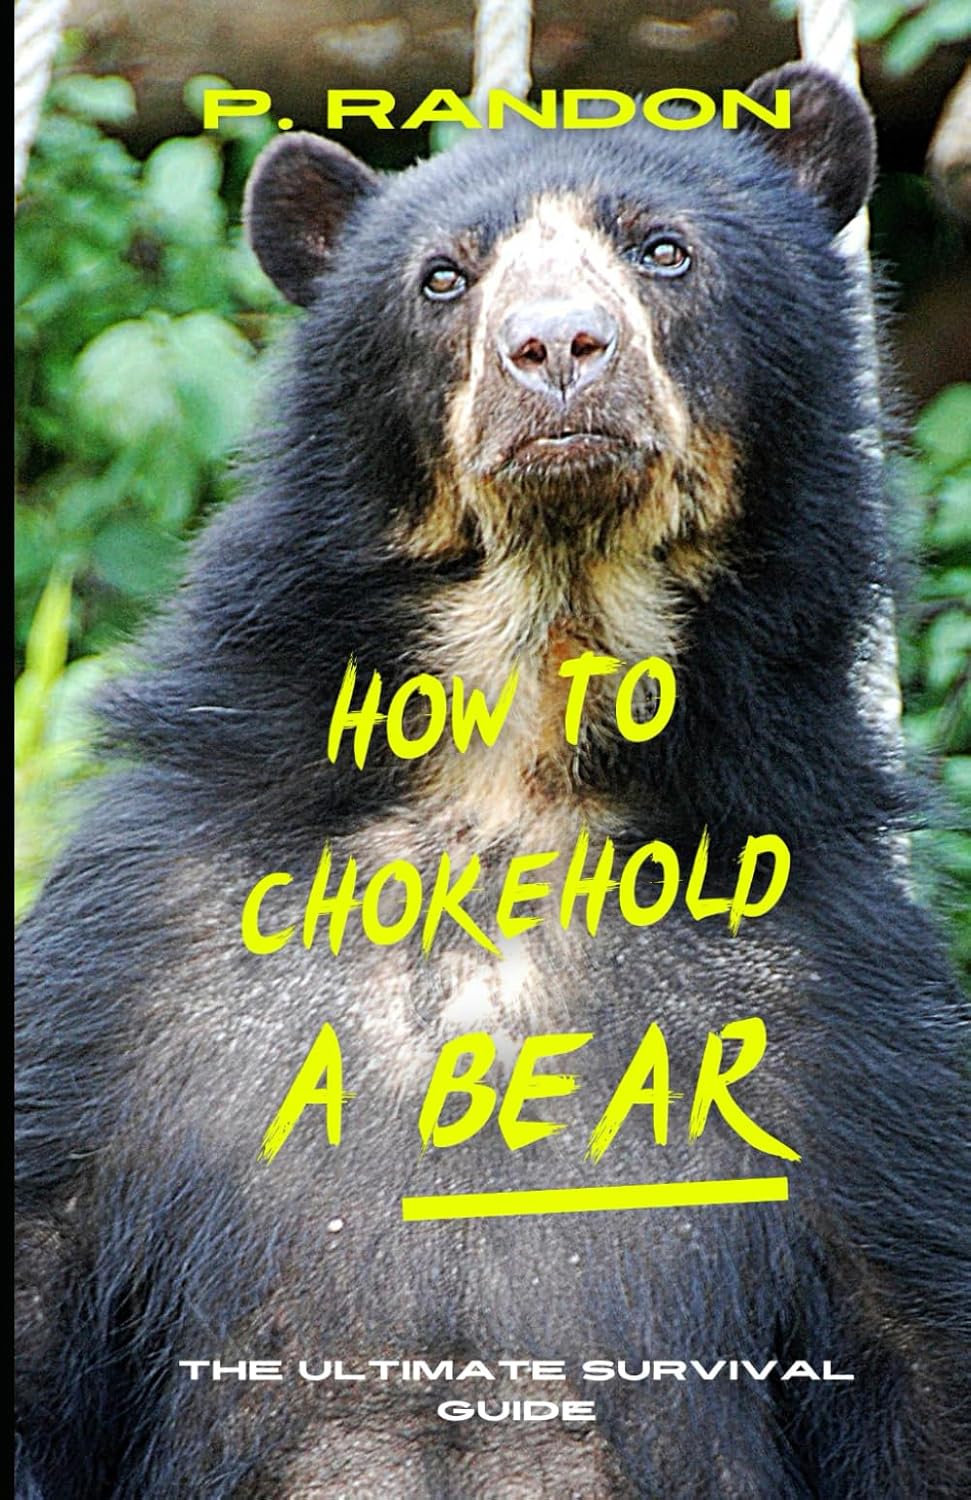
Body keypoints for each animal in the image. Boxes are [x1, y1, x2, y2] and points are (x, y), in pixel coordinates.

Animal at [15, 63, 970, 1499]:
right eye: (442, 278)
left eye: (661, 249)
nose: (556, 350)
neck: (520, 751)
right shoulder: (127, 963)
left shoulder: (847, 1019)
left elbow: (925, 1360)